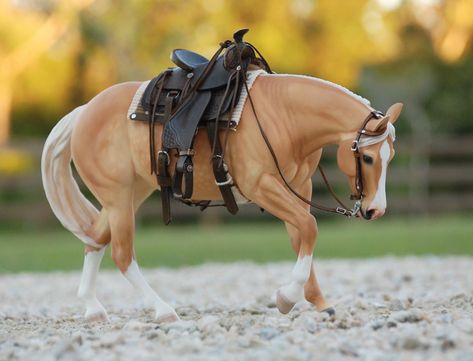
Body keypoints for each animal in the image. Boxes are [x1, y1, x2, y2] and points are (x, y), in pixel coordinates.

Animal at [42, 62, 400, 320]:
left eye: (390, 156)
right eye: (368, 157)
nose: (376, 210)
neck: (285, 116)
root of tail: (85, 111)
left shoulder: (298, 187)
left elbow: (301, 235)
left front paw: (318, 301)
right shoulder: (262, 187)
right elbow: (309, 227)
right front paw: (286, 298)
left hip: (131, 193)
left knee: (95, 238)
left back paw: (93, 309)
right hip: (118, 199)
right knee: (121, 253)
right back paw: (162, 310)